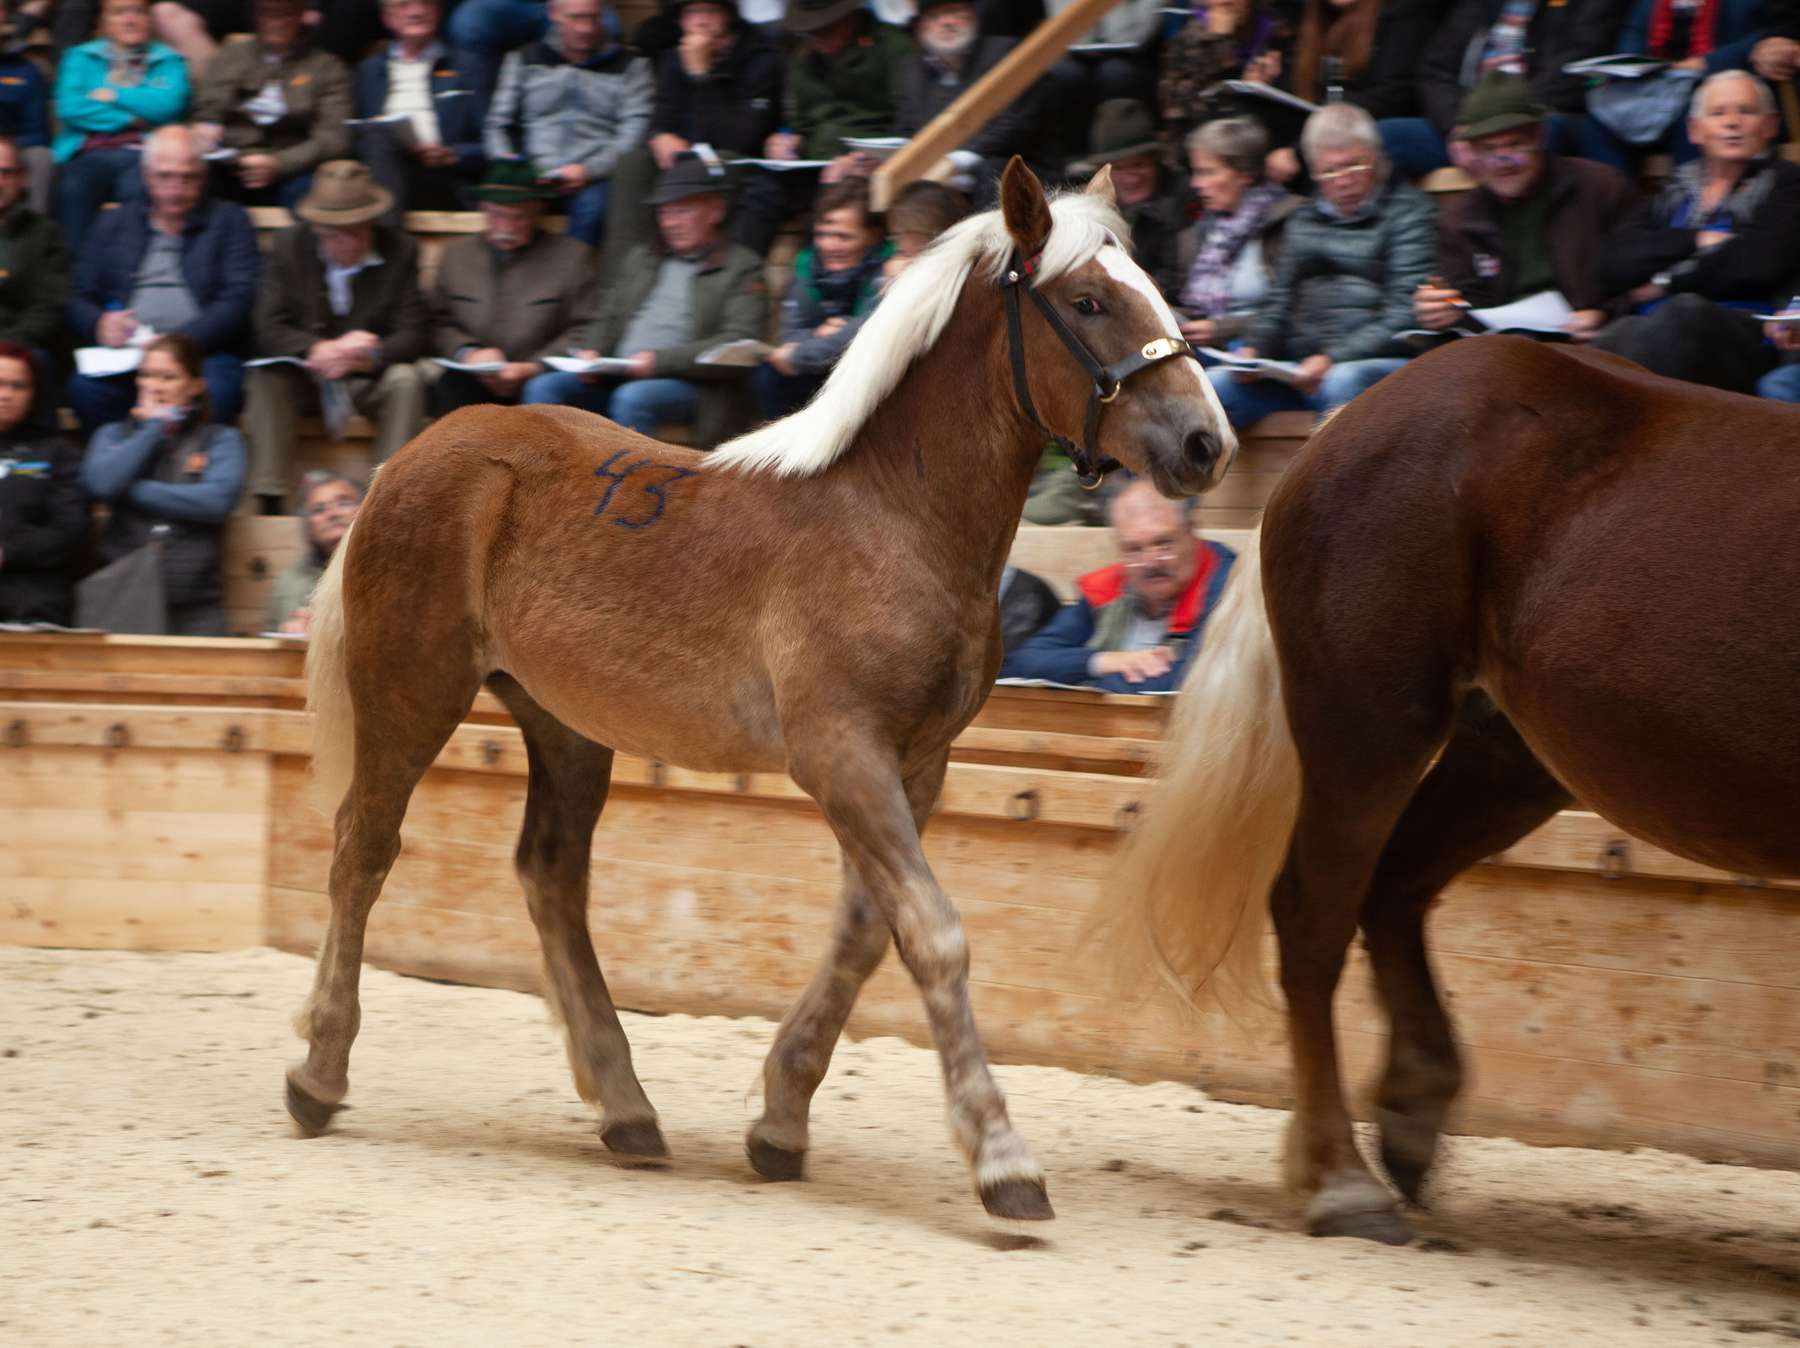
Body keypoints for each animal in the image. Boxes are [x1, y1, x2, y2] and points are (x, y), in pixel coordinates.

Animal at [284, 160, 1238, 1216]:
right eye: (1087, 301)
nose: (1206, 442)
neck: (894, 519)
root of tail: (402, 461)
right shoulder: (840, 755)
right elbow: (934, 934)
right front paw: (1002, 1160)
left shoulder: (916, 765)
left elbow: (867, 934)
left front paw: (780, 1124)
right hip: (412, 689)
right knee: (363, 850)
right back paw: (319, 1075)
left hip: (566, 724)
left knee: (551, 877)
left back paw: (625, 1107)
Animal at [1094, 336, 1800, 1238]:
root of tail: (1342, 421)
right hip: (1373, 725)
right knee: (1315, 915)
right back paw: (1341, 1180)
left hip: (1506, 758)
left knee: (1394, 887)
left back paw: (1407, 1119)